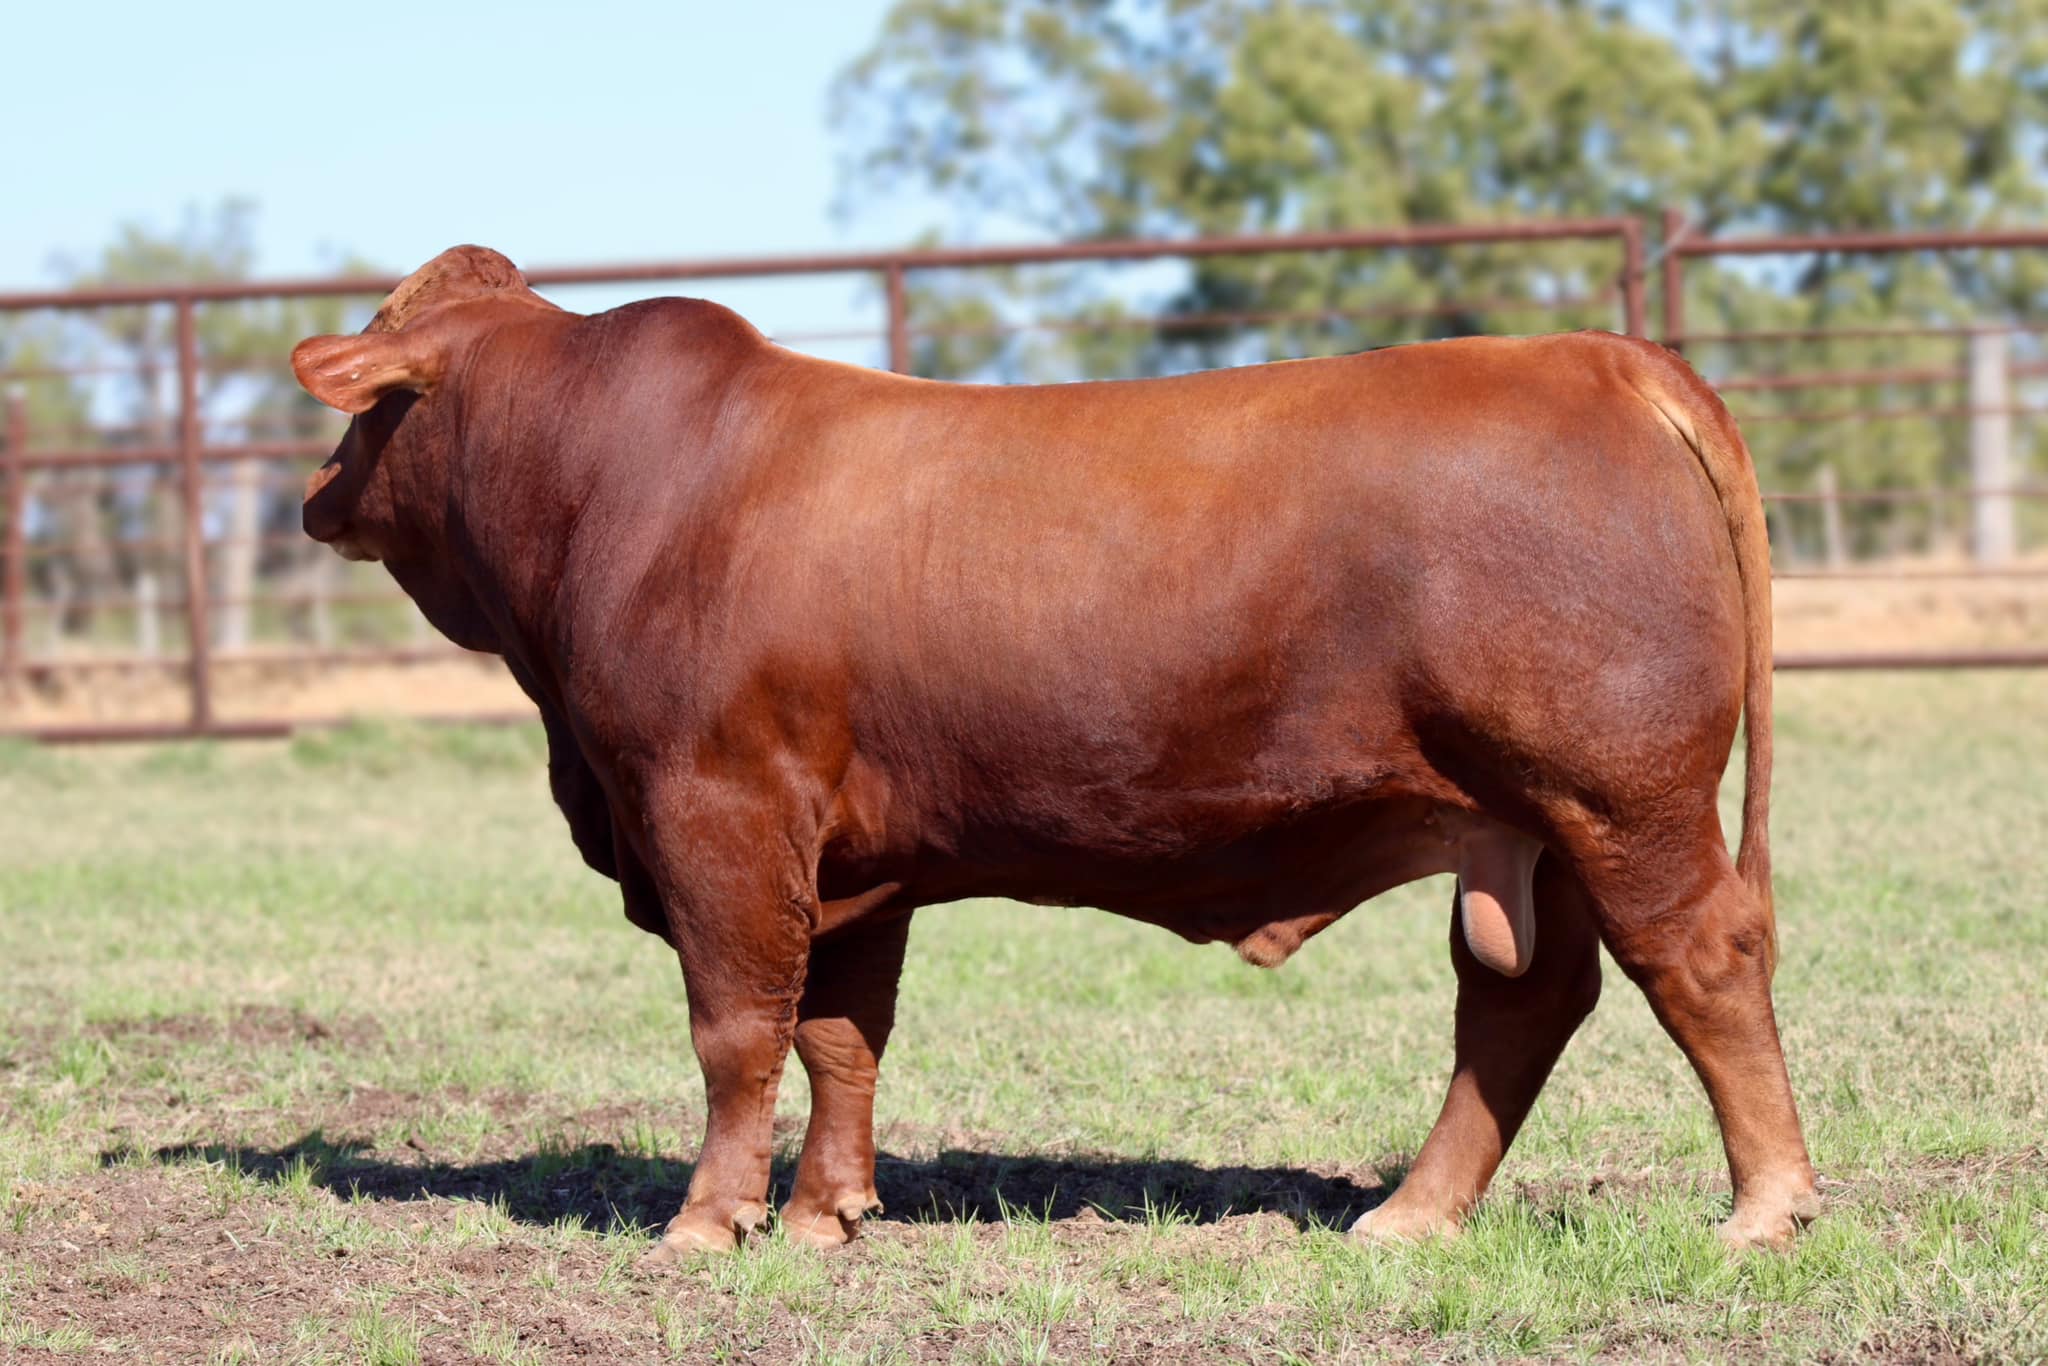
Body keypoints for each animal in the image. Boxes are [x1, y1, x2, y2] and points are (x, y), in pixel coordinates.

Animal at [291, 245, 1818, 1260]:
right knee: (1525, 999)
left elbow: (736, 1028)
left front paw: (707, 1223)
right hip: (1532, 822)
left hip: (1620, 795)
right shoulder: (857, 858)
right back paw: (1411, 1213)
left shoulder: (713, 808)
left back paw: (1764, 1206)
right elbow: (839, 1031)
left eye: (369, 383)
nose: (311, 492)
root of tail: (1594, 353)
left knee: (1700, 959)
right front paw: (828, 1212)